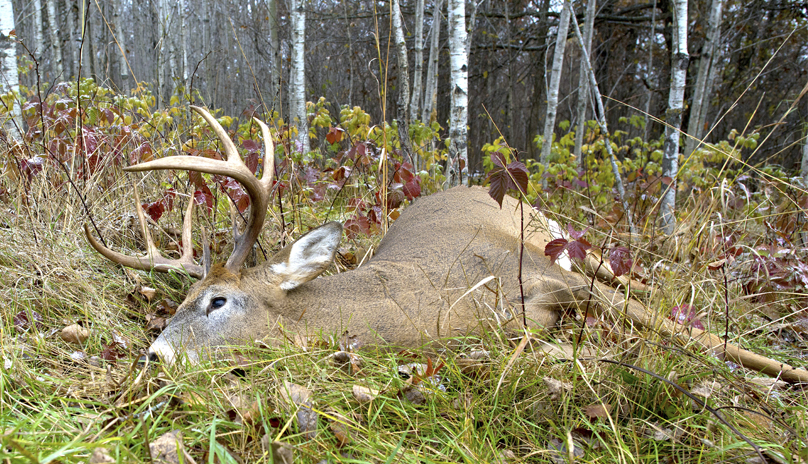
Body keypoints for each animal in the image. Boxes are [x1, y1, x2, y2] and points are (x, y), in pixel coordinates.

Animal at [86, 106, 808, 383]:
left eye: (216, 301)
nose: (153, 354)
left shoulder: (549, 275)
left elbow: (699, 337)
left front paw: (784, 372)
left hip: (561, 237)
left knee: (632, 278)